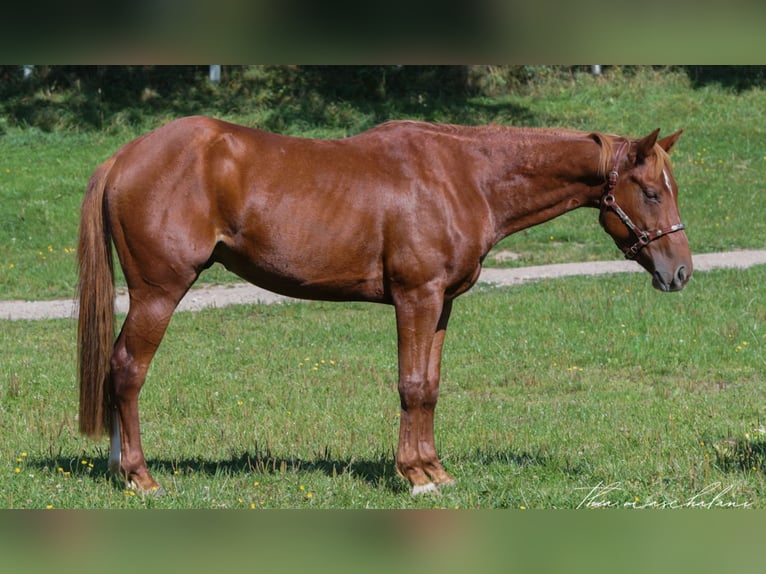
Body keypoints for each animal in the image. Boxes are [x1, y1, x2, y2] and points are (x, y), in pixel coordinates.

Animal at [77, 117, 691, 496]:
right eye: (651, 191)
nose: (680, 271)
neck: (465, 177)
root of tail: (124, 157)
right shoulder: (415, 298)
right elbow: (411, 385)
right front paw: (414, 476)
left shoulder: (441, 304)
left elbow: (431, 386)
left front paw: (435, 470)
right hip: (160, 291)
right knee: (128, 369)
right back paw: (140, 477)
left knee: (115, 367)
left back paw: (117, 467)